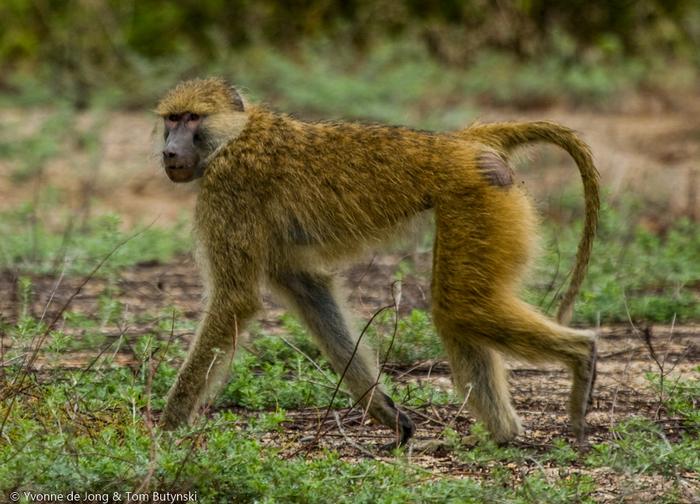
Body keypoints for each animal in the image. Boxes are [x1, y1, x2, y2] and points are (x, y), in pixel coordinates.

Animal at [155, 77, 599, 447]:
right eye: (171, 120)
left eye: (192, 118)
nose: (168, 151)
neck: (235, 135)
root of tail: (461, 141)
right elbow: (307, 288)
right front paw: (384, 410)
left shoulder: (229, 190)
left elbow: (236, 299)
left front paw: (165, 428)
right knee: (459, 313)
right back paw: (502, 435)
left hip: (478, 199)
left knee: (459, 306)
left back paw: (581, 357)